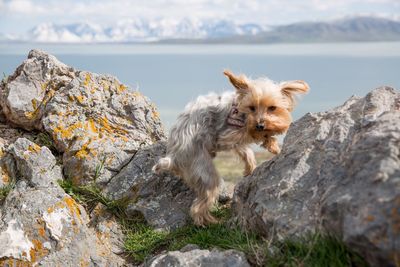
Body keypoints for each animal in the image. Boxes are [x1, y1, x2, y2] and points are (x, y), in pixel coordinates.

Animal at [153, 70, 310, 226]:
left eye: (272, 108)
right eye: (252, 107)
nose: (260, 125)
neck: (241, 110)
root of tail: (171, 158)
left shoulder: (236, 142)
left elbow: (247, 152)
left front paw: (252, 166)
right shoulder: (229, 135)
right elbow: (251, 136)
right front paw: (271, 142)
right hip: (204, 171)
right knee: (198, 206)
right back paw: (210, 222)